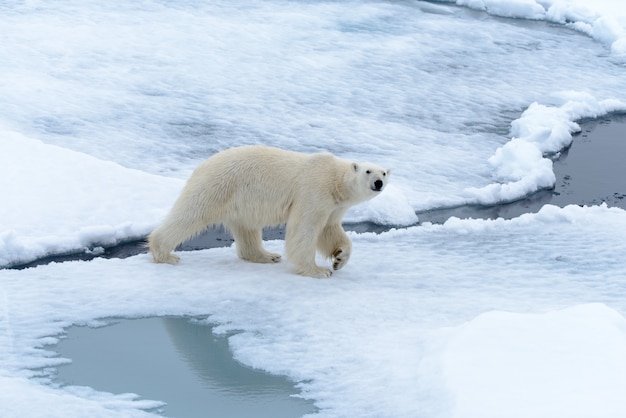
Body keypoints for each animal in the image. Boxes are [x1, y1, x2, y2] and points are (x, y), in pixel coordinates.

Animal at [148, 145, 388, 280]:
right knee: (191, 214)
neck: (335, 180)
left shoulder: (335, 206)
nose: (378, 182)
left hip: (241, 200)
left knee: (247, 228)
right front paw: (318, 271)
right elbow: (305, 229)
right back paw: (165, 253)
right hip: (219, 186)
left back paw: (267, 255)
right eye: (368, 171)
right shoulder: (314, 191)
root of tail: (202, 165)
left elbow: (330, 230)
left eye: (384, 173)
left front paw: (339, 259)